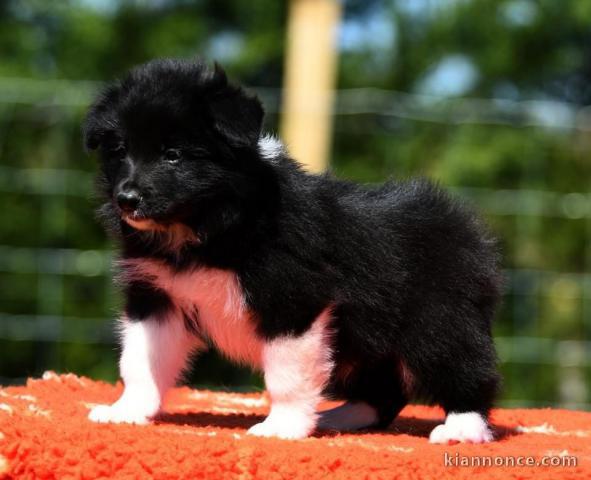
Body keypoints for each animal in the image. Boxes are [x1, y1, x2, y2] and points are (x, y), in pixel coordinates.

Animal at [83, 60, 502, 442]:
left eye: (173, 154)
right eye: (120, 151)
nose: (127, 199)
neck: (204, 227)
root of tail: (469, 231)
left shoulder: (292, 299)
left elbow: (285, 374)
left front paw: (280, 427)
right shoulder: (157, 295)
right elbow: (139, 359)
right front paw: (127, 410)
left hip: (438, 320)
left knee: (465, 370)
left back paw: (463, 427)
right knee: (384, 389)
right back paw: (341, 417)